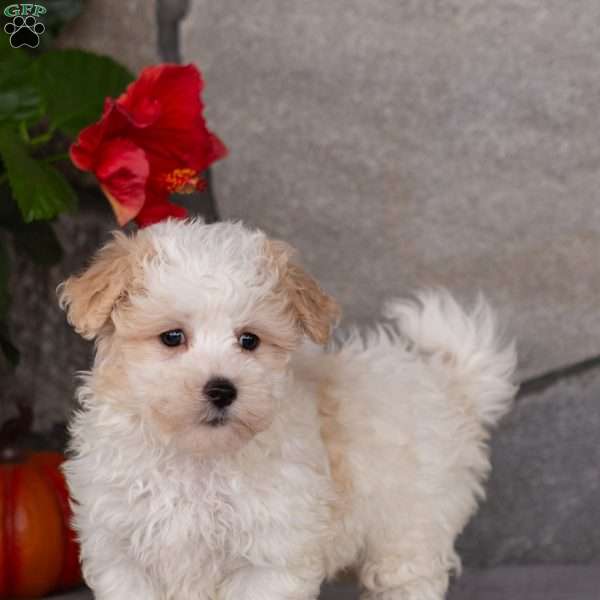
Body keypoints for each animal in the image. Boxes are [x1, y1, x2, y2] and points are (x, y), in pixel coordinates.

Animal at [58, 219, 516, 600]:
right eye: (172, 337)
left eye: (249, 340)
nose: (222, 390)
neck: (199, 459)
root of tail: (448, 385)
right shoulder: (122, 552)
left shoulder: (269, 557)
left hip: (411, 525)